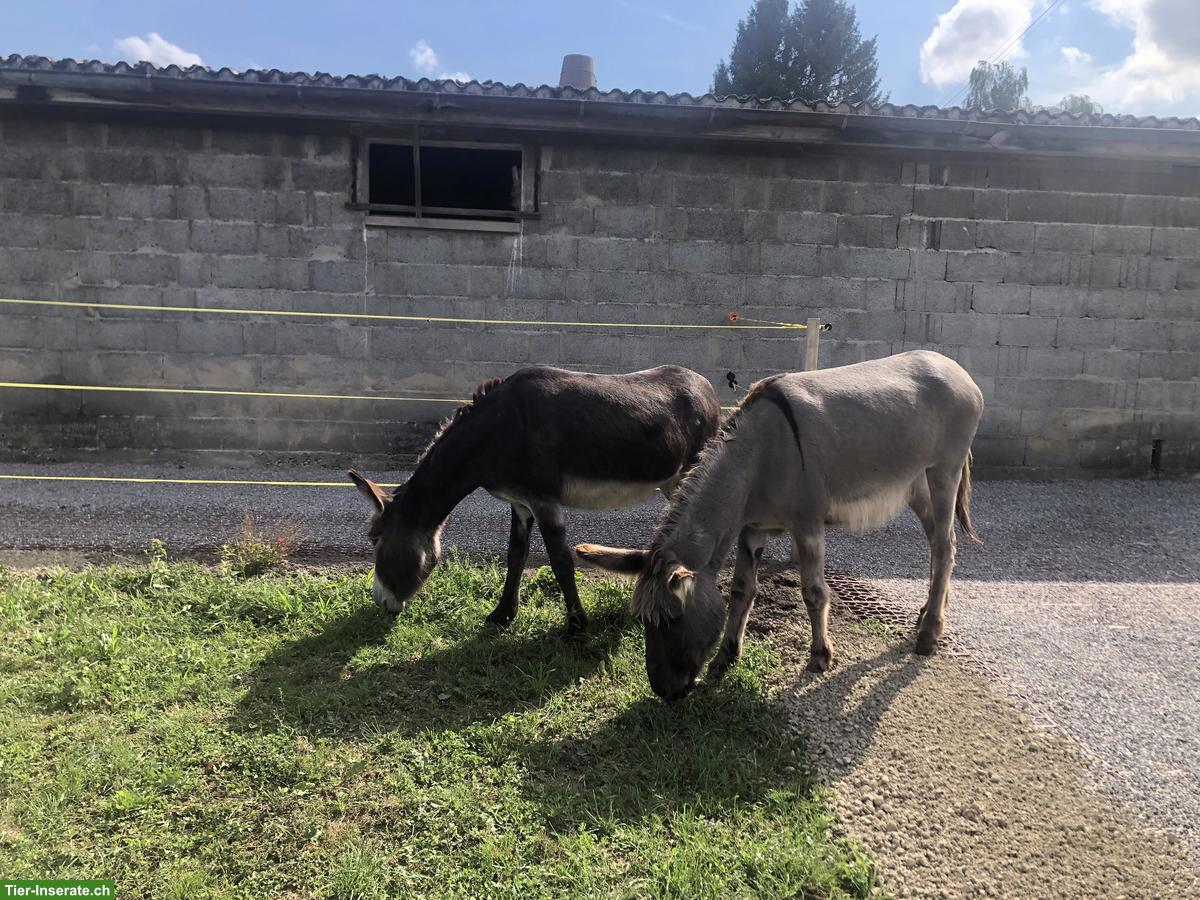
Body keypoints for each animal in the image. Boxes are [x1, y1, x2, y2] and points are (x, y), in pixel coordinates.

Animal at [349, 365, 720, 635]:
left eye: (373, 539)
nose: (380, 602)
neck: (497, 431)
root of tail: (707, 385)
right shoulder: (520, 503)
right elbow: (515, 555)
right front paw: (501, 614)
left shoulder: (544, 501)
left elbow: (560, 560)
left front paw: (576, 624)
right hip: (672, 481)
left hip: (690, 473)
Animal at [574, 350, 984, 700]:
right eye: (643, 621)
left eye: (672, 620)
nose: (665, 693)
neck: (757, 458)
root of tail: (954, 366)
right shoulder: (750, 529)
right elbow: (741, 590)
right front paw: (726, 657)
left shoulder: (807, 525)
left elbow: (814, 592)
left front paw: (819, 657)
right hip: (916, 482)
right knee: (937, 543)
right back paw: (928, 614)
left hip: (944, 471)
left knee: (945, 546)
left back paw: (929, 634)